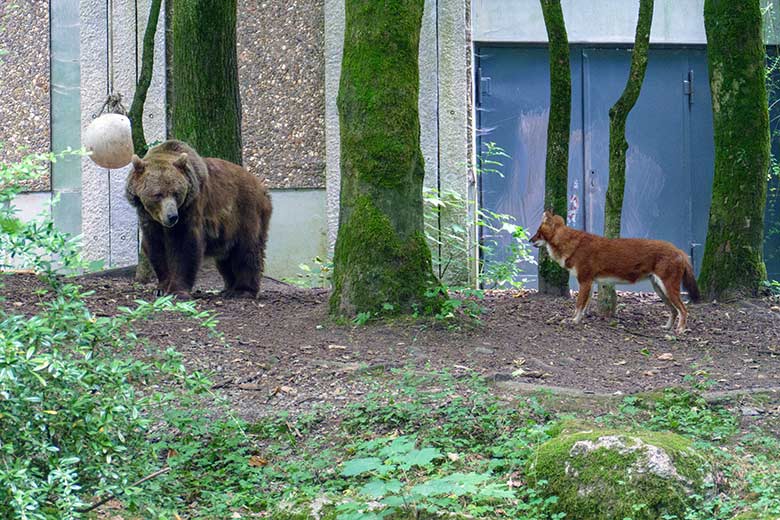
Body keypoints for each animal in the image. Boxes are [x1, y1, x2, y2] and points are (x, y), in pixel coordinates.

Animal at [126, 140, 272, 298]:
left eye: (176, 193)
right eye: (158, 194)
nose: (172, 216)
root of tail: (261, 186)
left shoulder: (191, 208)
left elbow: (185, 246)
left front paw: (178, 290)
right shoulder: (149, 219)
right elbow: (155, 248)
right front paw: (161, 288)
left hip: (246, 212)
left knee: (247, 250)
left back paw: (243, 290)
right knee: (226, 257)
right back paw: (228, 288)